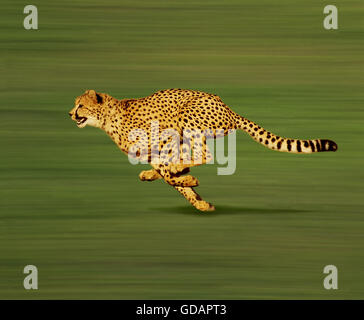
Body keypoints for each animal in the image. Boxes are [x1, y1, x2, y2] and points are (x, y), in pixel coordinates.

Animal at [69, 89, 338, 211]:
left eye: (80, 105)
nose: (70, 113)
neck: (108, 118)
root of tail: (228, 108)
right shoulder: (156, 151)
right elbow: (169, 177)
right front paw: (199, 202)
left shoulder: (165, 139)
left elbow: (170, 173)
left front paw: (189, 183)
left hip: (187, 118)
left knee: (204, 154)